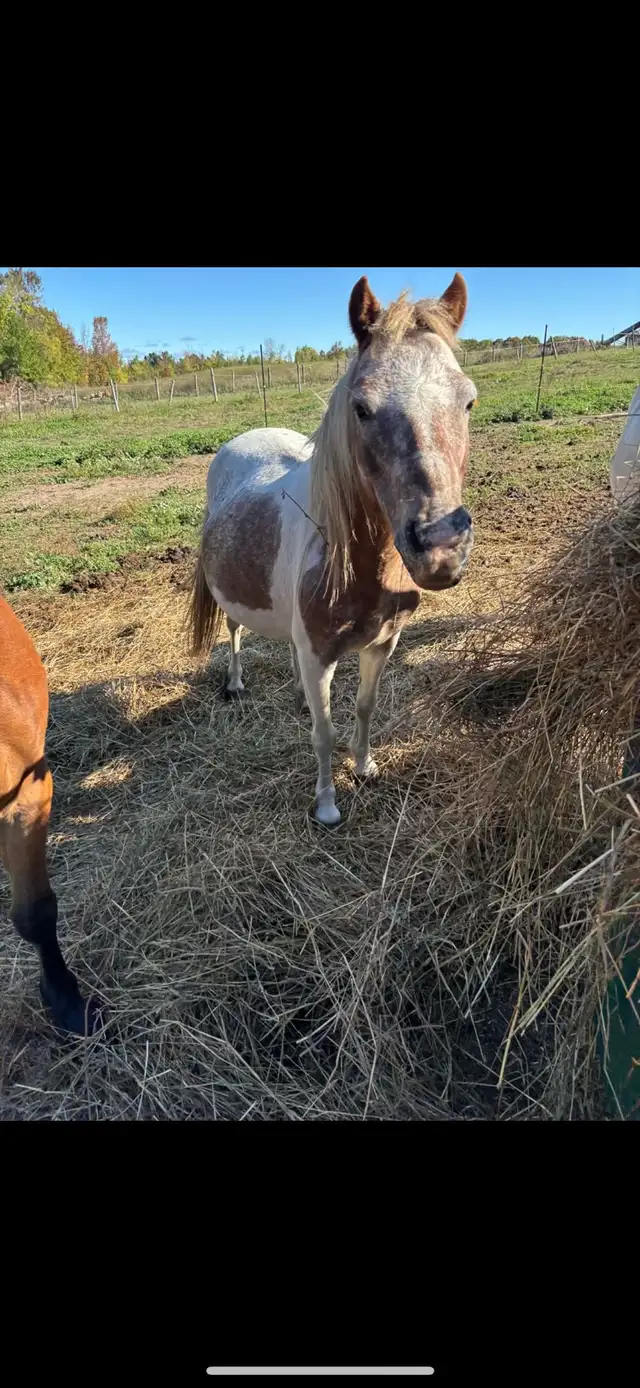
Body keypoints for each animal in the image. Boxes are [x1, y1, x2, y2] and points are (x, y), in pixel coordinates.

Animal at [189, 273, 476, 826]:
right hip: (232, 600)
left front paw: (363, 766)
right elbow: (322, 734)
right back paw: (235, 684)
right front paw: (326, 804)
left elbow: (364, 707)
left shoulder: (383, 644)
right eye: (361, 408)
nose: (440, 549)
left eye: (468, 401)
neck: (362, 567)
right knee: (233, 631)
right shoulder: (320, 655)